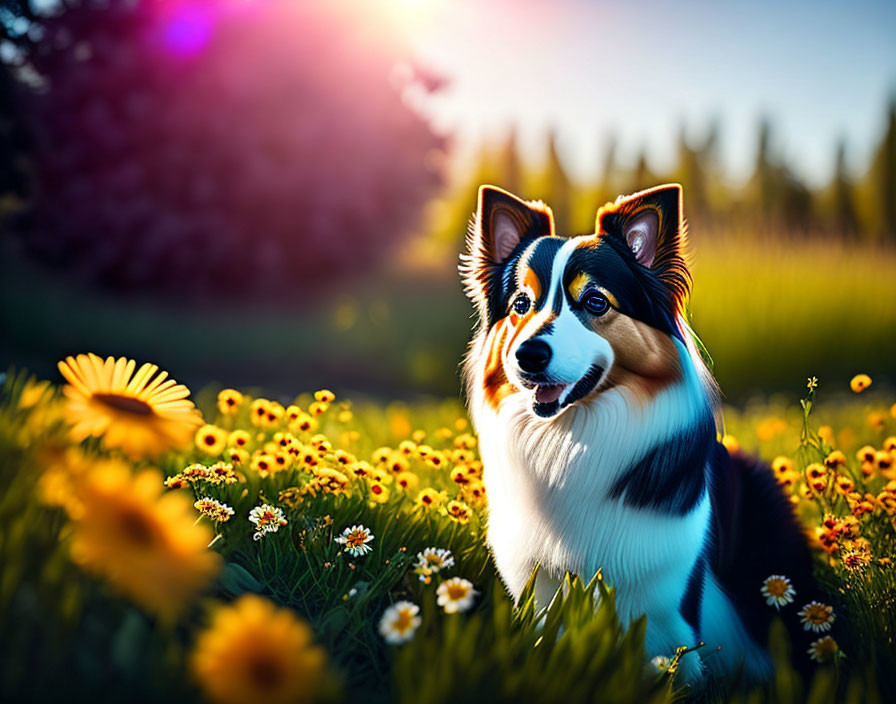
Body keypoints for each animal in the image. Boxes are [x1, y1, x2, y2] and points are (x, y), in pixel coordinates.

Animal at [462, 184, 820, 684]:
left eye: (595, 302)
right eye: (520, 305)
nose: (527, 355)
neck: (573, 438)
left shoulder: (665, 600)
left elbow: (672, 664)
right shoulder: (543, 586)